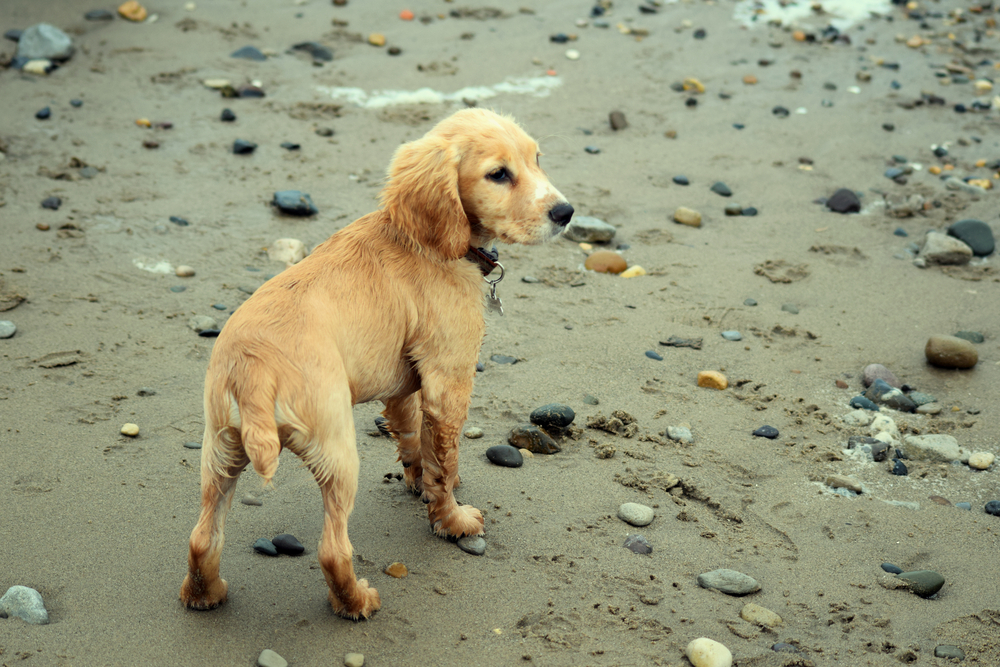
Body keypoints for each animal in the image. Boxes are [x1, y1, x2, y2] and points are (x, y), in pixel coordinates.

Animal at [178, 107, 572, 620]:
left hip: (220, 450)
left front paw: (418, 482)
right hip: (337, 452)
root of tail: (254, 369)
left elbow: (414, 439)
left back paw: (204, 594)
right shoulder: (449, 379)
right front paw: (453, 520)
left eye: (537, 159)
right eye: (498, 174)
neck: (423, 239)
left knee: (202, 537)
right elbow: (444, 457)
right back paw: (357, 601)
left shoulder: (403, 386)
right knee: (331, 548)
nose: (566, 213)